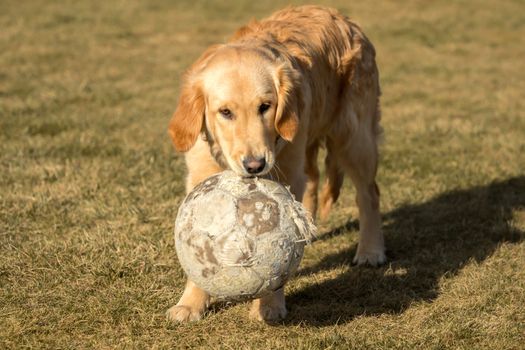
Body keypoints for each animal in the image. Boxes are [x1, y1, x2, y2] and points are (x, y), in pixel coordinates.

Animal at [166, 4, 382, 322]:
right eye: (225, 112)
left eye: (265, 107)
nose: (255, 165)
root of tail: (343, 17)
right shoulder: (200, 176)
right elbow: (196, 246)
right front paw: (192, 303)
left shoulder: (286, 173)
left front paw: (269, 304)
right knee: (314, 182)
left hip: (354, 138)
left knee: (369, 194)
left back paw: (371, 251)